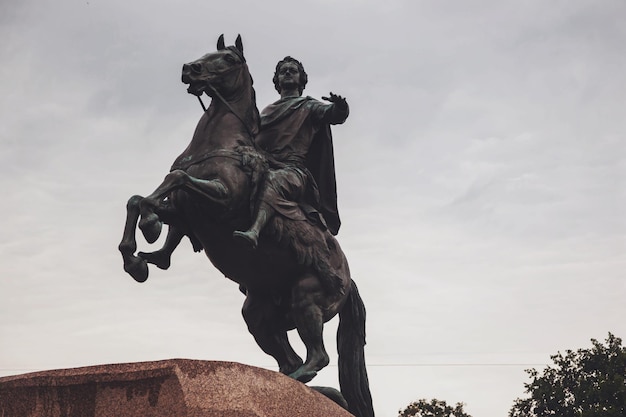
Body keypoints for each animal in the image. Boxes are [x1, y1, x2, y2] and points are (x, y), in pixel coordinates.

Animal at [117, 35, 370, 416]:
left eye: (229, 59)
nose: (189, 69)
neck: (219, 144)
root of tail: (349, 278)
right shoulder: (187, 211)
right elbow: (141, 198)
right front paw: (137, 255)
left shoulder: (221, 202)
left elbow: (175, 178)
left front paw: (148, 231)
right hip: (259, 315)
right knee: (290, 358)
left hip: (307, 296)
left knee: (317, 356)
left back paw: (299, 384)